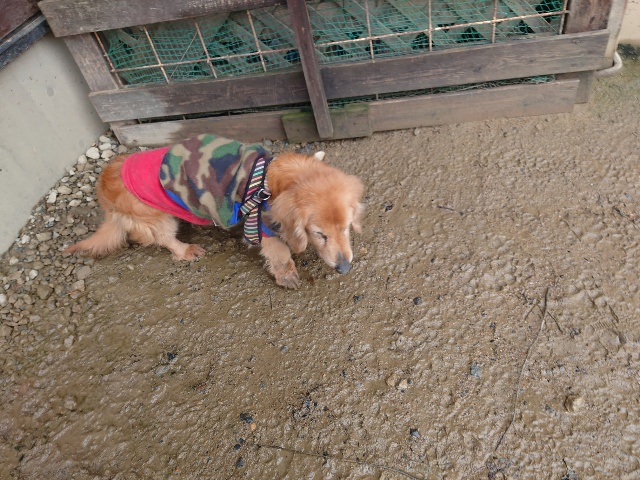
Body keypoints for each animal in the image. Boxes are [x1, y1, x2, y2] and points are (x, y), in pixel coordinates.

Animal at [65, 134, 364, 289]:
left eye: (346, 228)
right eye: (319, 234)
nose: (345, 268)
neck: (270, 181)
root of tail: (104, 188)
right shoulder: (261, 225)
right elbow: (279, 253)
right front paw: (287, 275)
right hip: (156, 217)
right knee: (163, 238)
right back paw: (185, 249)